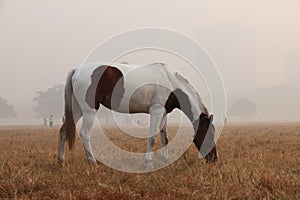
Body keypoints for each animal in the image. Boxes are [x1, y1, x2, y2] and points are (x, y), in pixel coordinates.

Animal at [58, 62, 218, 166]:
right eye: (209, 133)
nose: (214, 158)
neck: (170, 83)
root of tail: (76, 70)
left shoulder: (163, 113)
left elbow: (164, 138)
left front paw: (165, 159)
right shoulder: (156, 111)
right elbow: (152, 138)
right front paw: (148, 161)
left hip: (77, 110)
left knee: (64, 131)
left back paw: (61, 160)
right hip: (89, 111)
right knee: (85, 134)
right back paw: (93, 162)